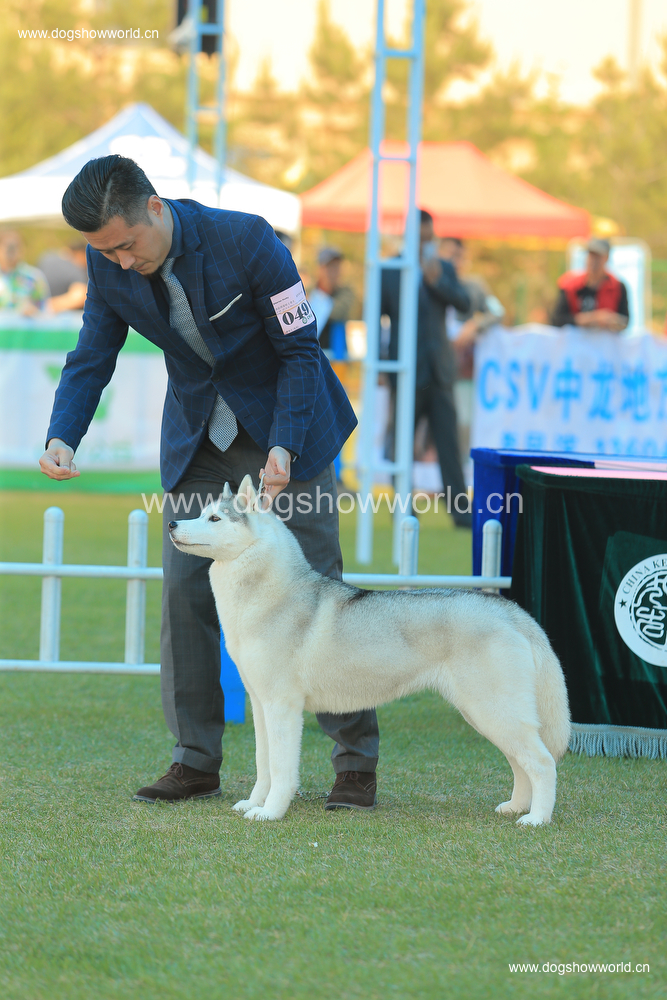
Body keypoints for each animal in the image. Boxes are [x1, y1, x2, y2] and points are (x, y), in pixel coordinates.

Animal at [168, 476, 571, 825]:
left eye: (215, 518)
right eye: (200, 512)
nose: (172, 523)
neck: (266, 595)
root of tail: (510, 610)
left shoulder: (282, 706)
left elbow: (281, 769)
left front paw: (270, 812)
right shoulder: (260, 704)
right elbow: (263, 763)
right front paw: (254, 803)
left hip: (494, 711)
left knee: (542, 762)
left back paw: (537, 818)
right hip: (487, 714)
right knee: (520, 762)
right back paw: (517, 807)